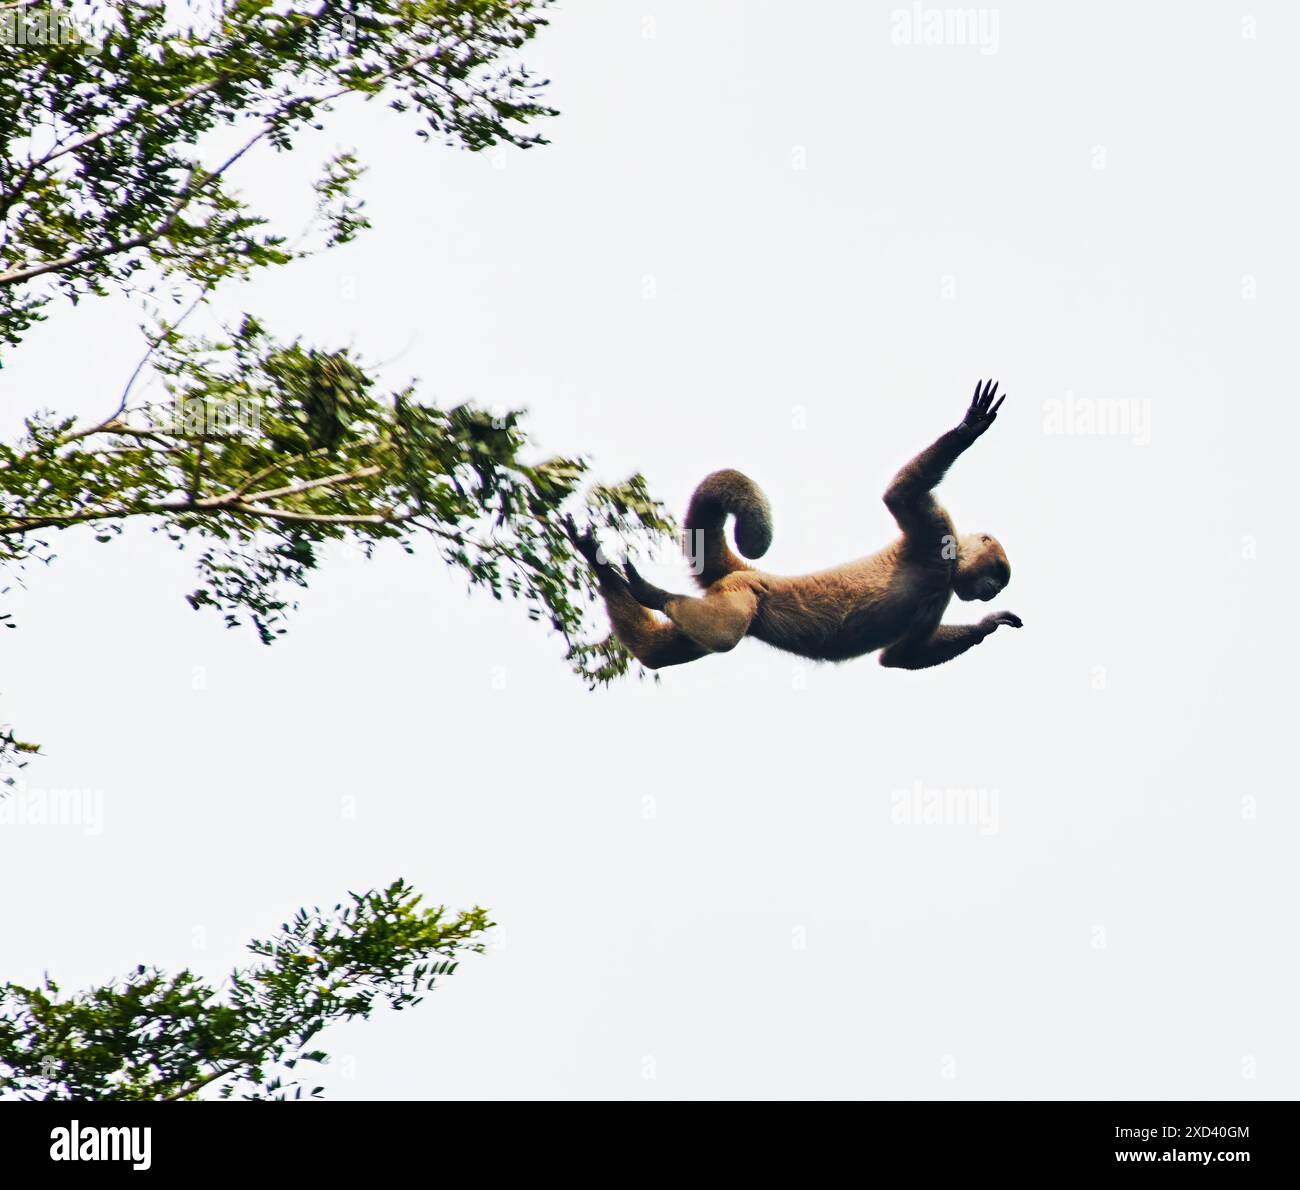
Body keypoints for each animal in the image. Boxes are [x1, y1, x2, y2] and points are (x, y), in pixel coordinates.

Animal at [569, 379, 1022, 671]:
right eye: (997, 574)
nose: (992, 590)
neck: (946, 568)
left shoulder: (942, 590)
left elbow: (897, 658)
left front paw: (988, 624)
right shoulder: (937, 534)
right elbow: (899, 495)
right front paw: (968, 428)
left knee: (659, 651)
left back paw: (604, 567)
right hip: (745, 587)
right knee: (725, 634)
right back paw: (654, 593)